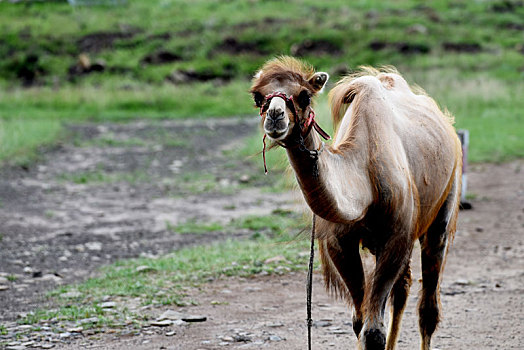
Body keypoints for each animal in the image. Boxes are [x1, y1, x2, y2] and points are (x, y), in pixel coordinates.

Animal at [252, 56, 460, 348]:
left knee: (428, 307)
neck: (364, 181)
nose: (275, 116)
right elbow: (360, 321)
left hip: (446, 201)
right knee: (403, 288)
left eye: (305, 96)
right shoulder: (340, 243)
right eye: (258, 97)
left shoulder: (396, 237)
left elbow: (373, 332)